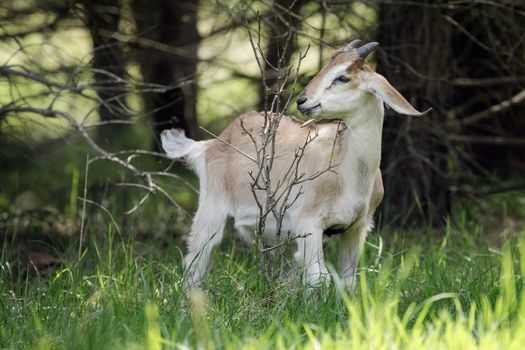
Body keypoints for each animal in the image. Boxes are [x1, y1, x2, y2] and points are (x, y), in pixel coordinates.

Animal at [161, 39, 426, 292]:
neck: (349, 173)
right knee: (197, 259)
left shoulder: (356, 227)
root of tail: (211, 144)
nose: (302, 100)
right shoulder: (307, 222)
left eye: (342, 77)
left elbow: (348, 280)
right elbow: (319, 278)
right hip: (211, 206)